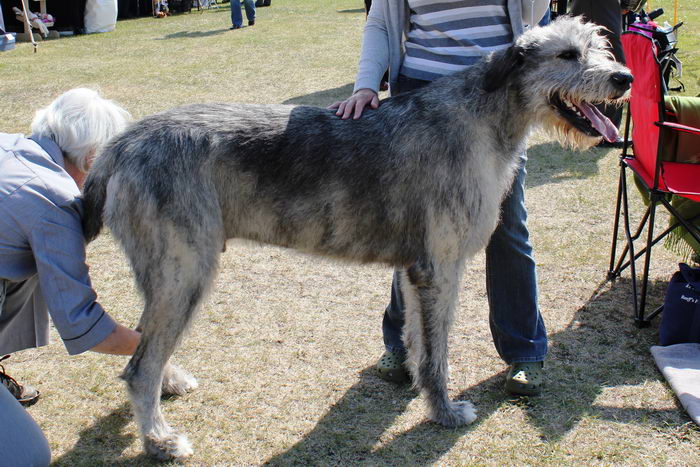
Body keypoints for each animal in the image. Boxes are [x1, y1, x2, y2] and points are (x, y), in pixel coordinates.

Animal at [83, 16, 636, 462]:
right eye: (567, 54)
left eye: (599, 45)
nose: (625, 78)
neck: (483, 115)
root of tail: (120, 144)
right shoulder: (440, 266)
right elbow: (437, 352)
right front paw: (444, 410)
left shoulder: (415, 271)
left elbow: (417, 339)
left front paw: (418, 387)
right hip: (186, 268)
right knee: (138, 367)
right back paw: (159, 439)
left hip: (171, 272)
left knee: (145, 341)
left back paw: (170, 383)